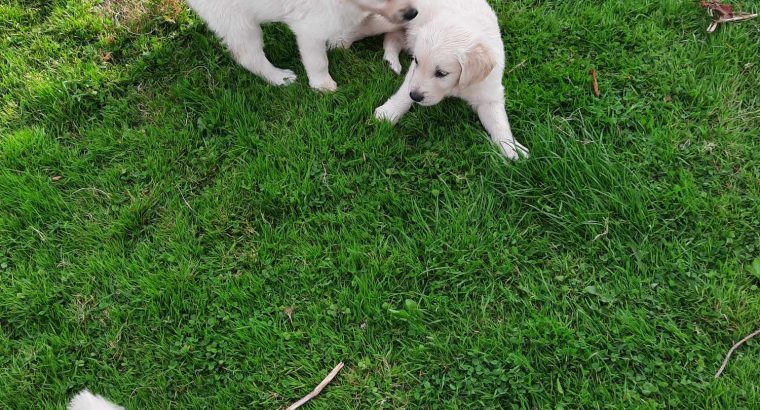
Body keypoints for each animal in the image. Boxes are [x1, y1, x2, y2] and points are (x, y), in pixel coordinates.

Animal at [187, 0, 418, 91]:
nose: (413, 13)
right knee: (248, 55)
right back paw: (280, 78)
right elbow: (318, 61)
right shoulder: (311, 28)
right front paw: (323, 85)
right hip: (236, 18)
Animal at [374, 0, 528, 161]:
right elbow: (404, 92)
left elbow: (498, 121)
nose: (415, 96)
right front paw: (389, 112)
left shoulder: (488, 90)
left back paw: (391, 61)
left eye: (441, 73)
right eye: (416, 61)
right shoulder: (414, 73)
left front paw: (511, 147)